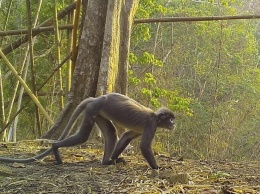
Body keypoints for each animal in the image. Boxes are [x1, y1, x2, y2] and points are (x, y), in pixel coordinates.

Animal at [0, 93, 175, 169]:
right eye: (171, 119)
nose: (174, 124)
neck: (155, 117)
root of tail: (97, 98)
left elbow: (126, 137)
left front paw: (115, 158)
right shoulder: (151, 124)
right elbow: (144, 147)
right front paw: (158, 167)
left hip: (98, 112)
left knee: (111, 133)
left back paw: (107, 161)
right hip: (93, 109)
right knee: (83, 136)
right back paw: (55, 147)